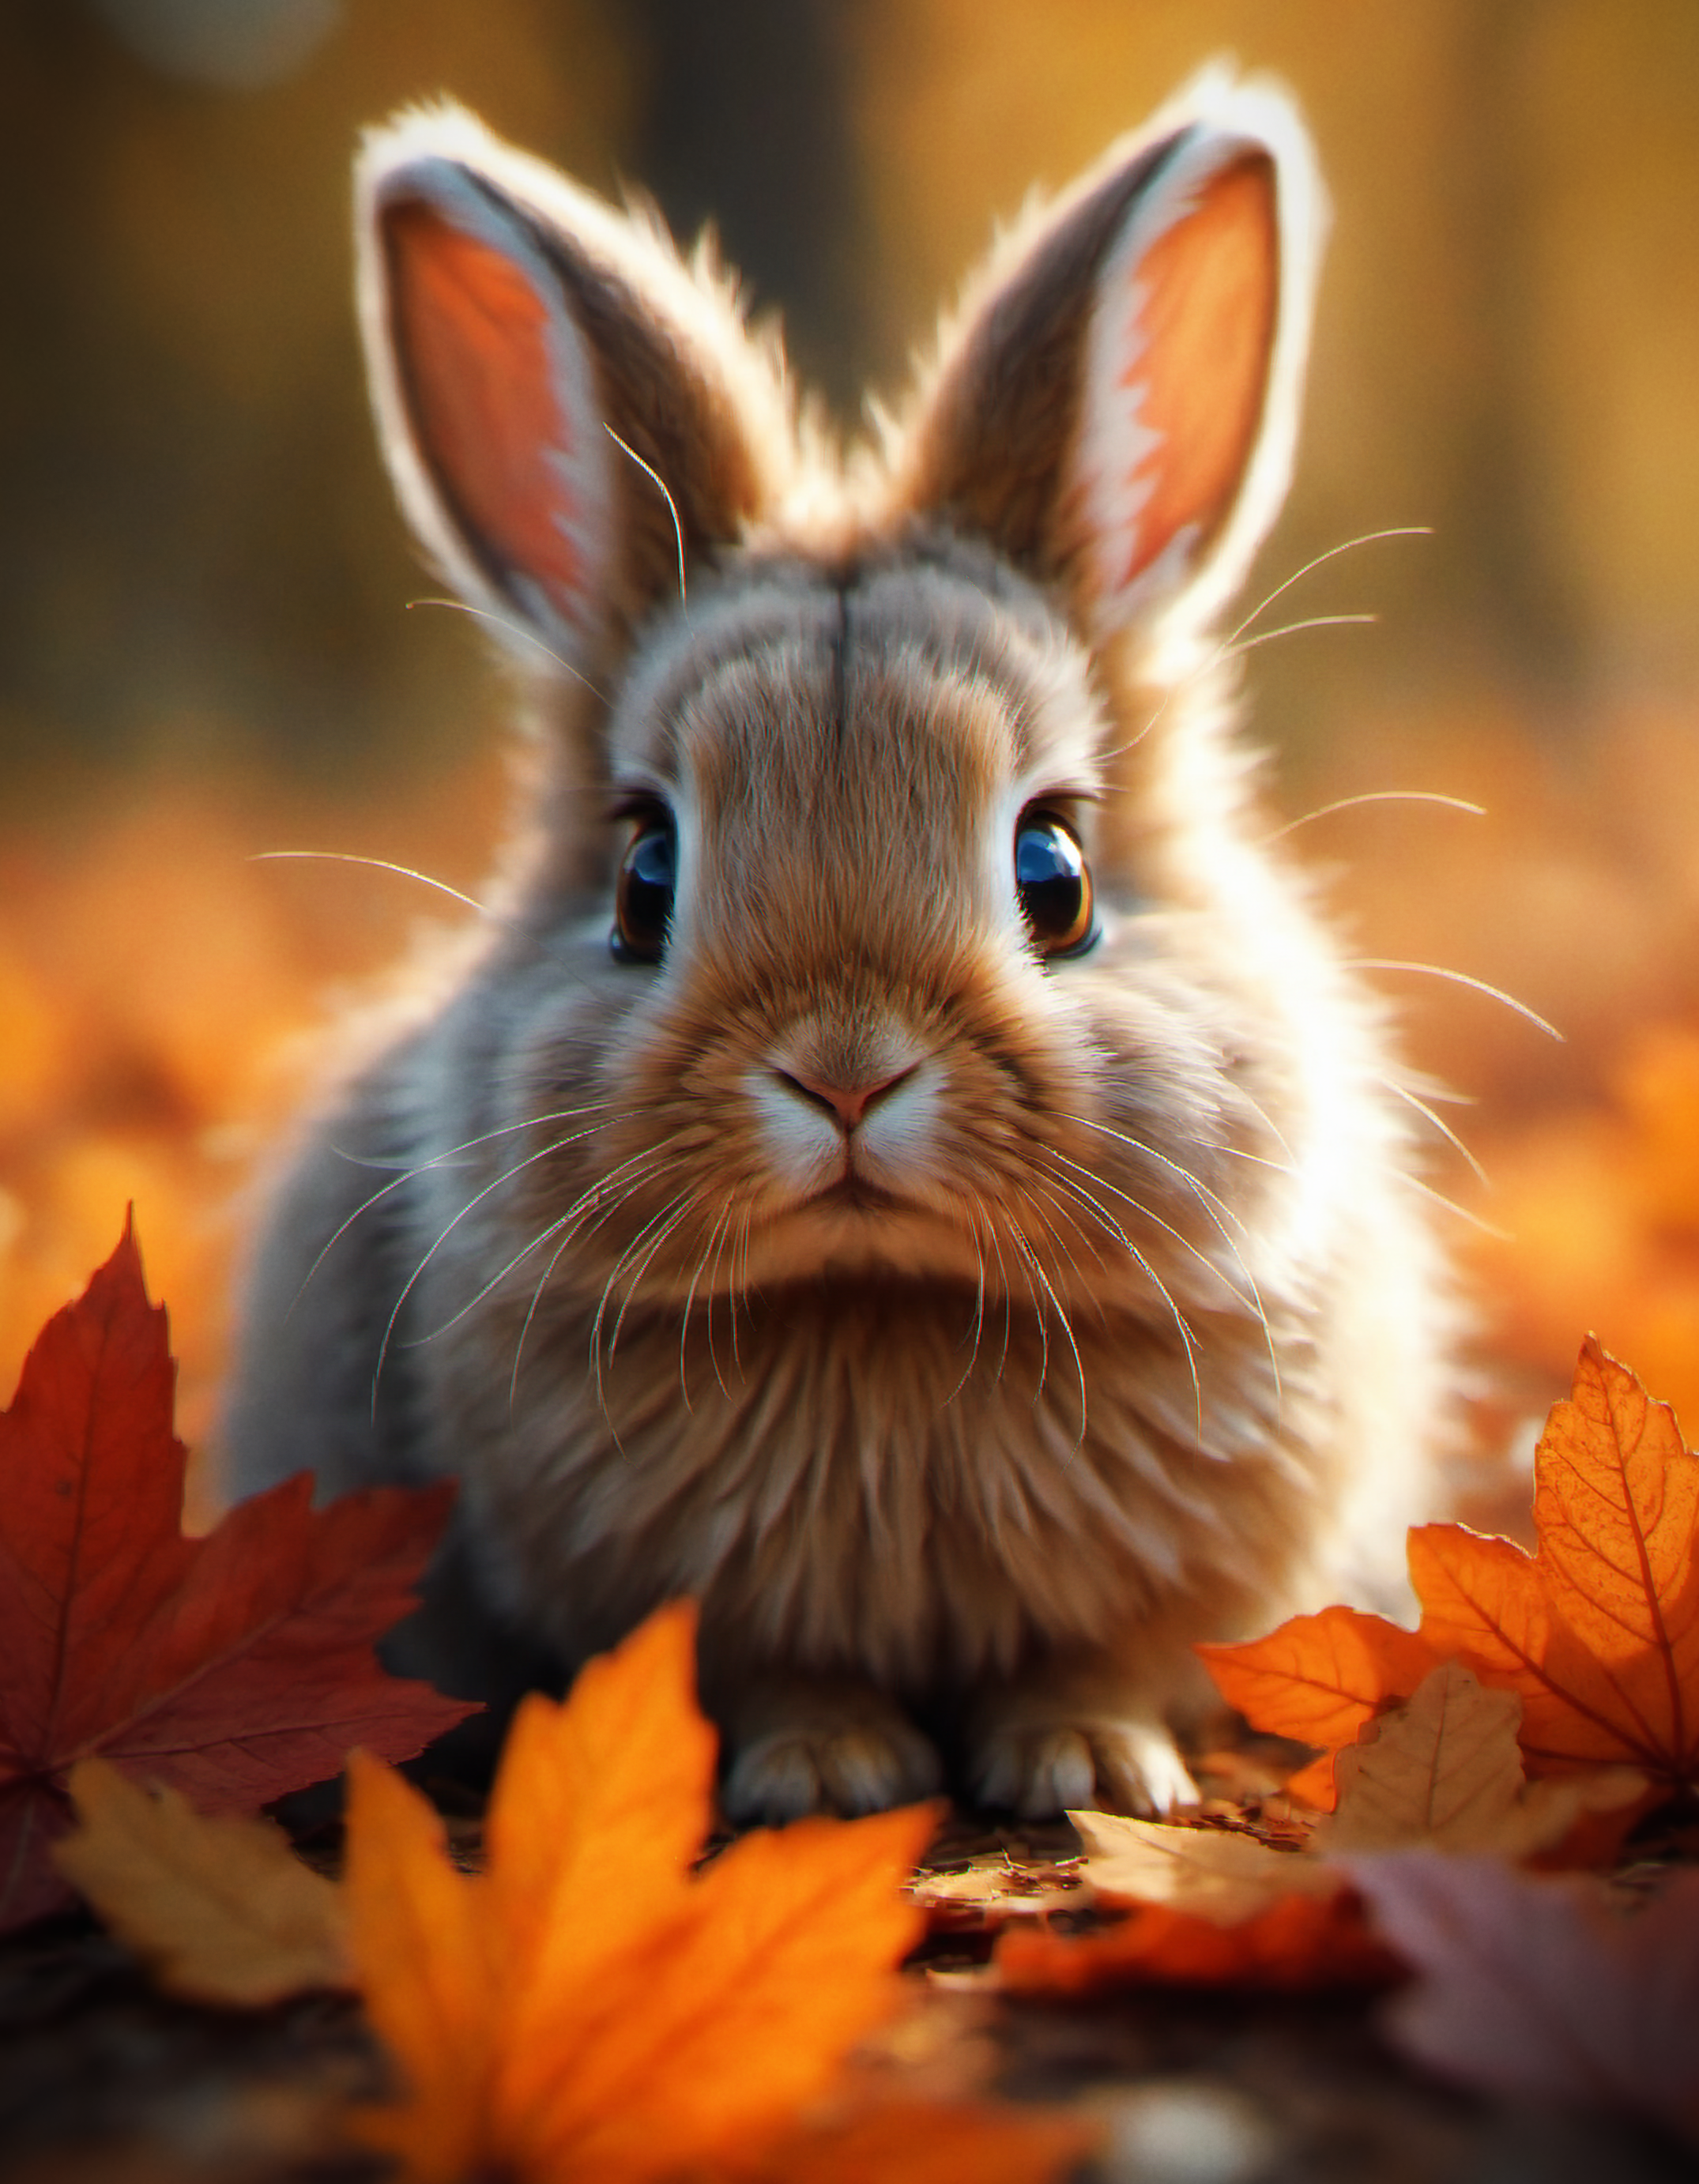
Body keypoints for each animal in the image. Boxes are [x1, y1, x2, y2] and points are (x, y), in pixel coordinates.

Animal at [223, 68, 1461, 1824]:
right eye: (644, 876)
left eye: (1055, 870)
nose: (847, 1075)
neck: (883, 1304)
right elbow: (774, 1676)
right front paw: (827, 1776)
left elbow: (1097, 1661)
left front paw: (1087, 1766)